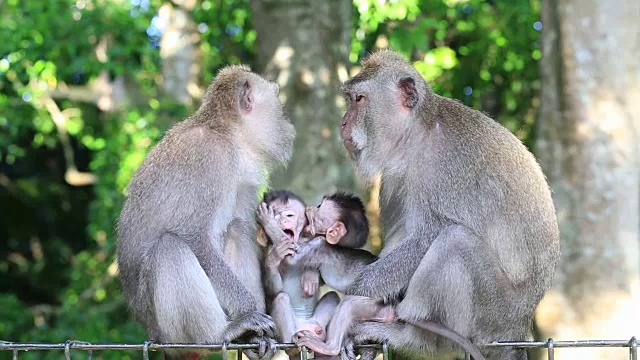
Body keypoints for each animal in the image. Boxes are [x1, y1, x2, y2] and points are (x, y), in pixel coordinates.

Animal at [115, 65, 296, 360]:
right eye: (278, 104)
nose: (288, 125)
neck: (228, 135)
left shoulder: (244, 178)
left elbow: (241, 227)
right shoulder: (209, 158)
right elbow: (195, 238)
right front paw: (248, 311)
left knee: (236, 229)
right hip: (167, 332)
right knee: (169, 248)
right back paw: (220, 333)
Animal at [255, 190, 376, 358]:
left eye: (290, 215)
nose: (282, 219)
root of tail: (305, 326)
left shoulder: (318, 244)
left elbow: (294, 256)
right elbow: (274, 291)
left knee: (333, 297)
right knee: (281, 298)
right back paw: (292, 345)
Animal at [336, 49, 560, 358]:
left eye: (359, 99)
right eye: (350, 99)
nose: (343, 123)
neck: (418, 133)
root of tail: (518, 328)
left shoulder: (441, 168)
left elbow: (424, 239)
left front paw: (352, 300)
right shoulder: (395, 178)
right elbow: (400, 235)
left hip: (494, 313)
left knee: (455, 240)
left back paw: (418, 338)